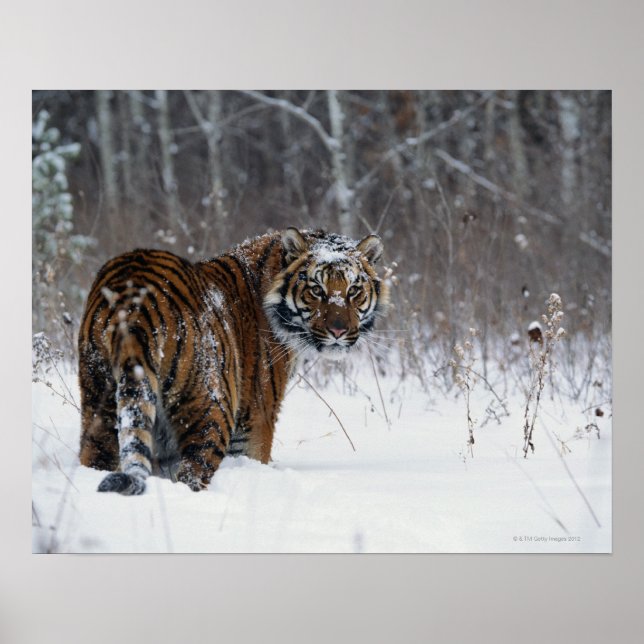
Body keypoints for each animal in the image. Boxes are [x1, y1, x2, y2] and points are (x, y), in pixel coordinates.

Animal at [78, 227, 387, 495]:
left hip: (99, 402)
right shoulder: (256, 416)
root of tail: (134, 303)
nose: (338, 331)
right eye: (316, 290)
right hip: (212, 408)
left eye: (353, 290)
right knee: (192, 473)